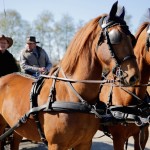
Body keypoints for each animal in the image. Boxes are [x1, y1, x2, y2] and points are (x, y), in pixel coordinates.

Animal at [0, 1, 139, 150]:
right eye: (115, 38)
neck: (75, 96)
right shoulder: (55, 144)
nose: (134, 76)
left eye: (132, 39)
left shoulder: (84, 143)